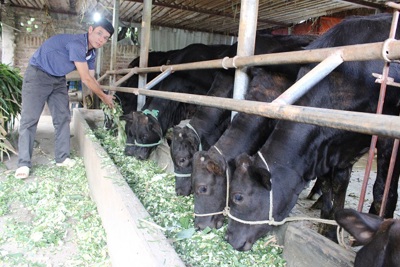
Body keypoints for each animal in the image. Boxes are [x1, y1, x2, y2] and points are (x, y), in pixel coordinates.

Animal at [225, 12, 400, 251]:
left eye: (238, 197)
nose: (229, 238)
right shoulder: (334, 145)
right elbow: (333, 185)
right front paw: (329, 230)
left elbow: (382, 189)